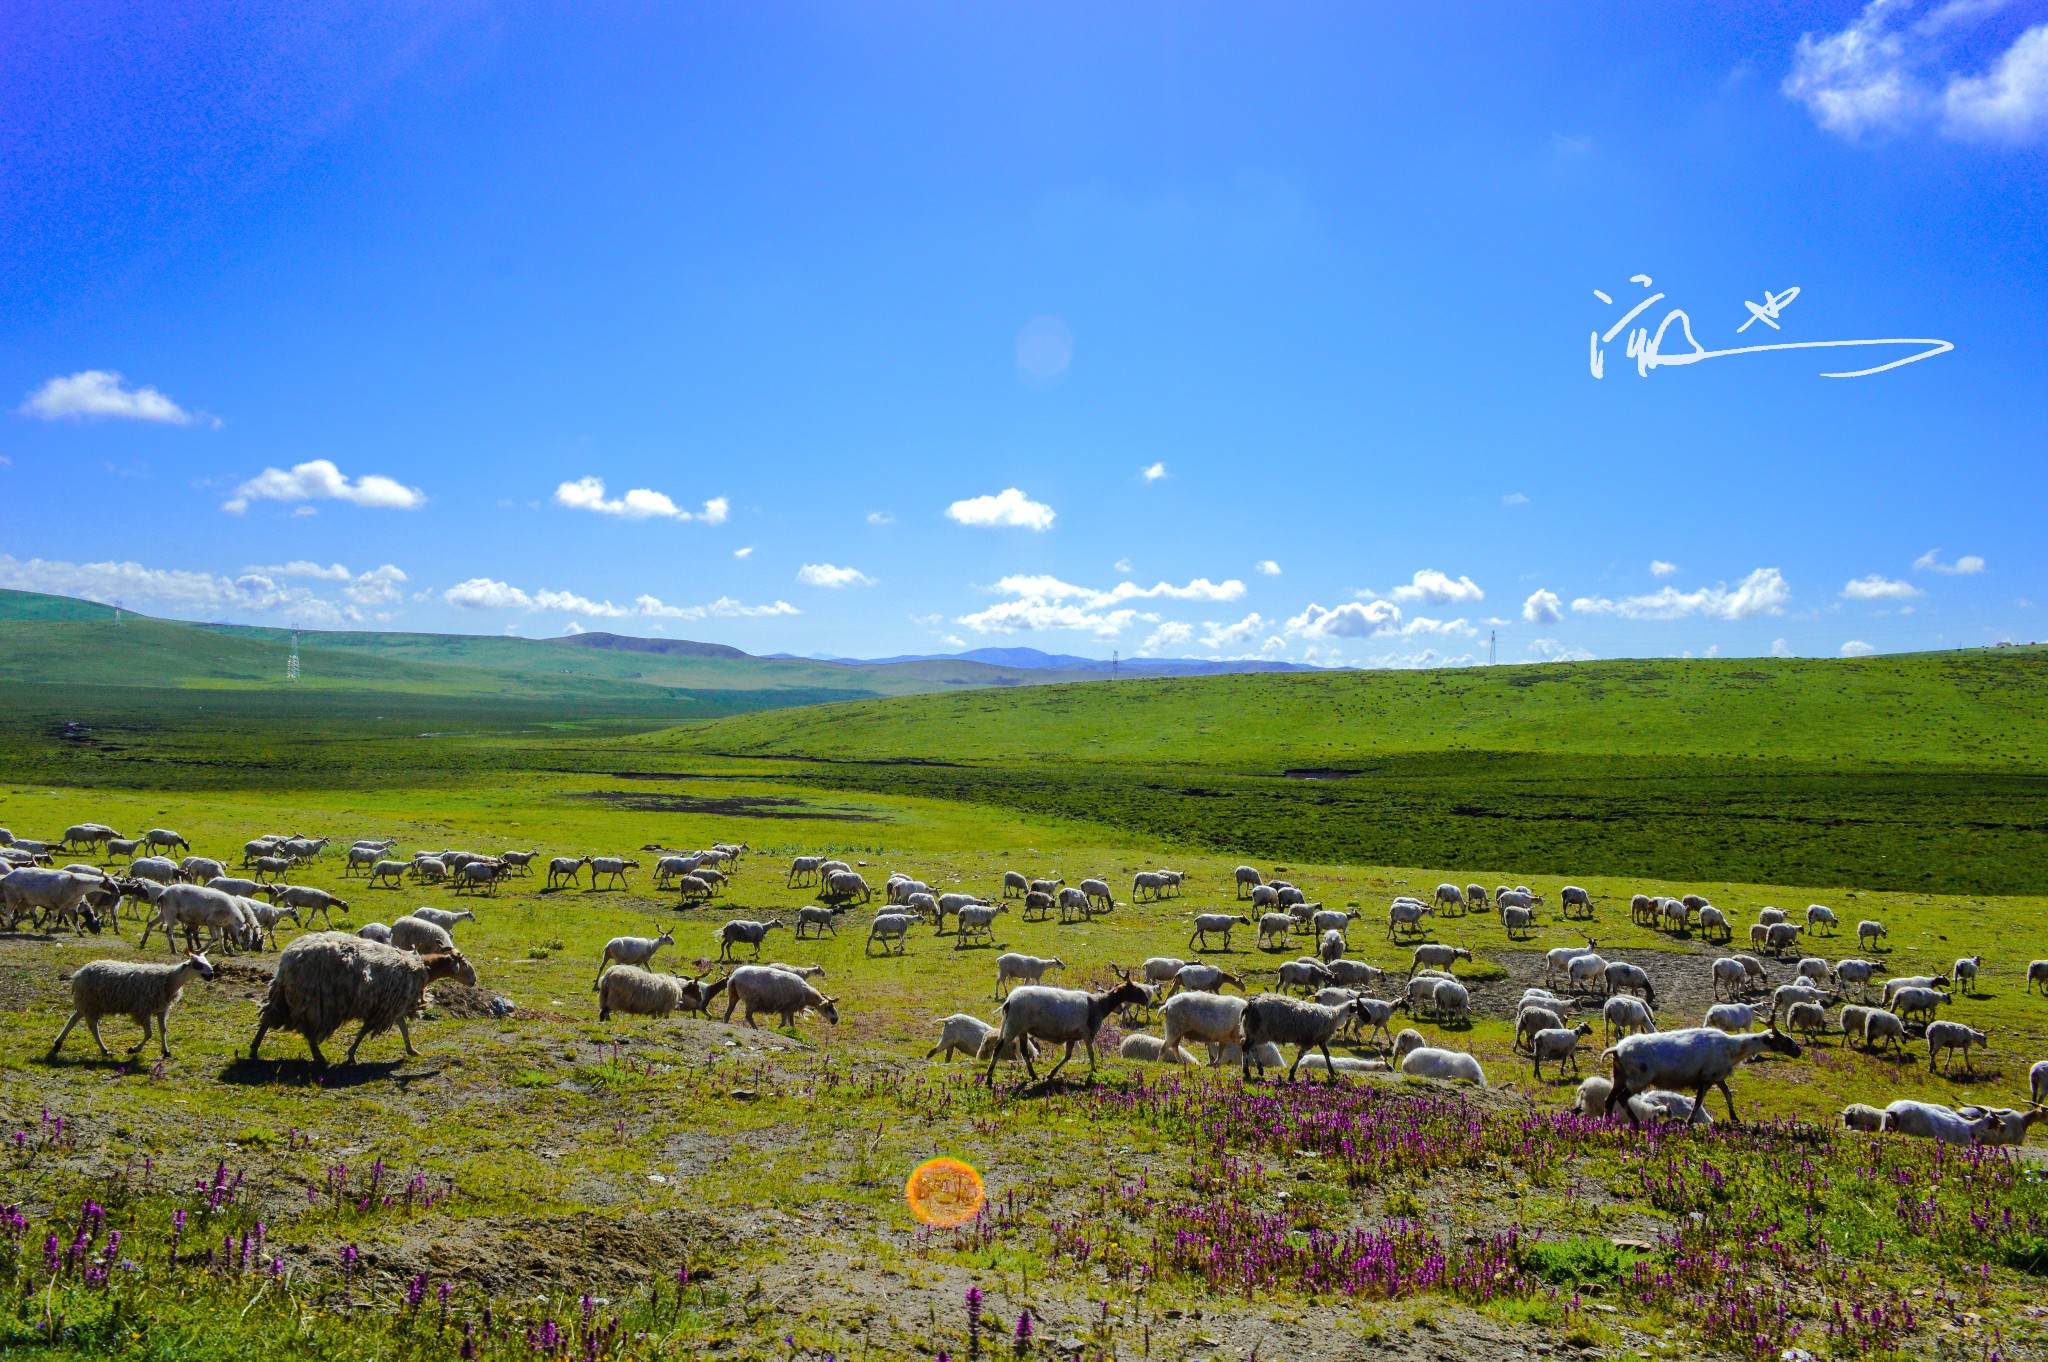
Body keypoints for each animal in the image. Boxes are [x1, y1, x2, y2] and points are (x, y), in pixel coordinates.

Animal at [49, 950, 214, 1056]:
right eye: (198, 964)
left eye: (207, 962)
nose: (212, 974)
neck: (169, 980)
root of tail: (78, 974)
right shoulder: (143, 1010)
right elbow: (149, 1034)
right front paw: (134, 1049)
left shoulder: (162, 1009)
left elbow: (163, 1030)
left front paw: (166, 1051)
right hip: (90, 1002)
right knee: (93, 1027)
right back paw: (104, 1050)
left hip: (87, 1003)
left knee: (73, 1019)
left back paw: (58, 1043)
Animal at [249, 929, 477, 1065]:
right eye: (465, 964)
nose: (474, 980)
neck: (424, 967)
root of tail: (287, 959)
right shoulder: (388, 1004)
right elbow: (365, 1030)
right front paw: (351, 1055)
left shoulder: (393, 1004)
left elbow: (403, 1028)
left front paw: (412, 1050)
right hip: (313, 1000)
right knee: (309, 1032)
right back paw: (319, 1057)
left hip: (286, 996)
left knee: (269, 1018)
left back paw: (254, 1050)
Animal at [1228, 987, 1376, 1081]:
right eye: (1360, 1007)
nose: (1369, 1017)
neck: (1333, 1016)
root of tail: (1249, 1005)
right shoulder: (1310, 1040)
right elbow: (1301, 1055)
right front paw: (1292, 1074)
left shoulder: (1320, 1039)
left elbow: (1326, 1054)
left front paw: (1332, 1072)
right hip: (1258, 1031)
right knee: (1245, 1047)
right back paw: (1247, 1072)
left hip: (1253, 1031)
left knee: (1251, 1047)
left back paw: (1259, 1068)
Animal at [1589, 1024, 1802, 1122]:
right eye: (1783, 1039)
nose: (1798, 1050)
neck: (1734, 1049)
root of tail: (1617, 1049)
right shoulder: (1706, 1078)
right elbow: (1699, 1102)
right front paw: (1689, 1122)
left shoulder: (1718, 1077)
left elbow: (1728, 1095)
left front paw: (1734, 1118)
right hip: (1638, 1078)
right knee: (1622, 1098)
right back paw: (1636, 1123)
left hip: (1620, 1076)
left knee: (1610, 1099)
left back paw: (1607, 1121)